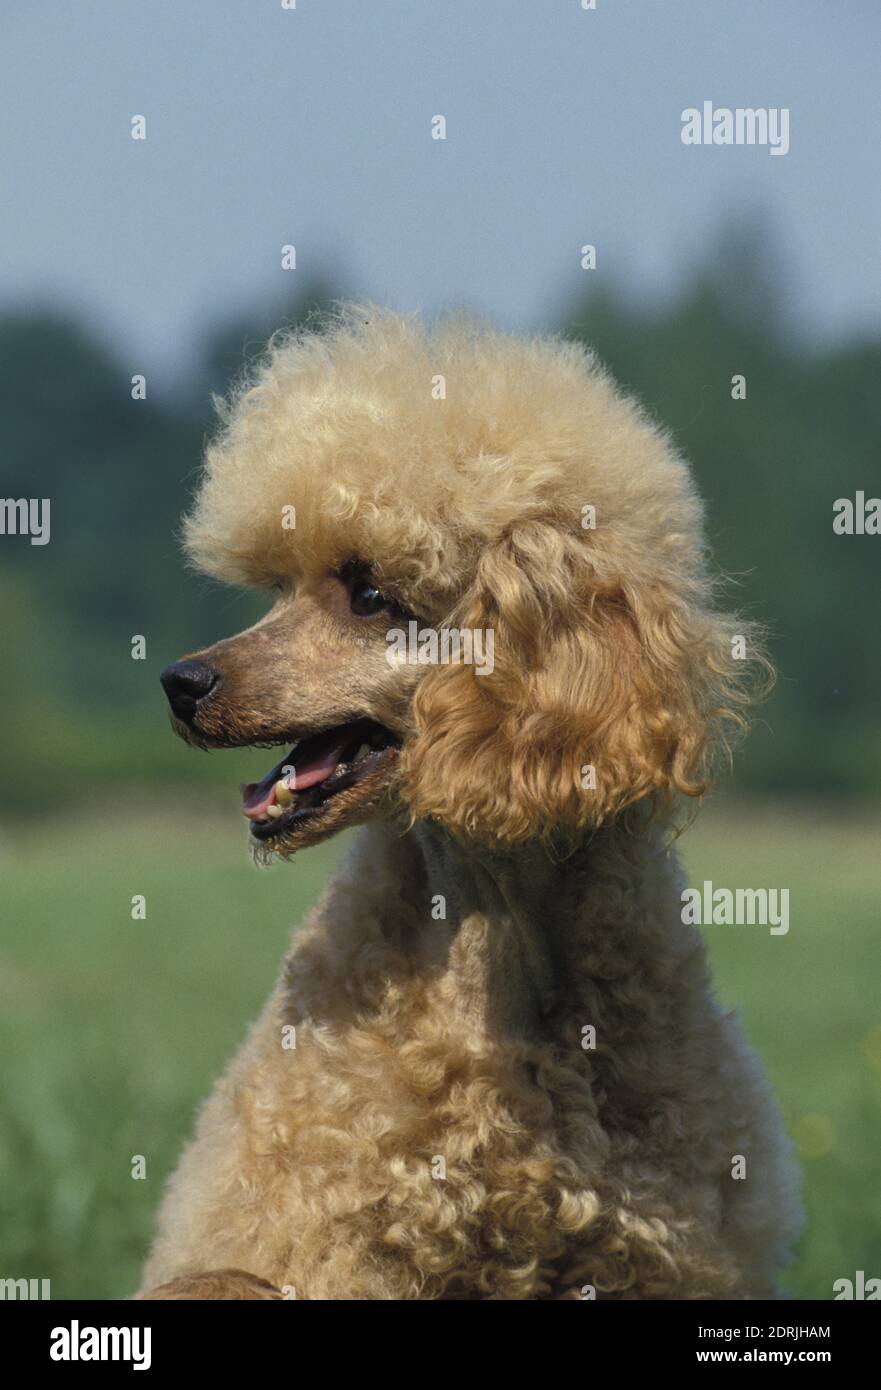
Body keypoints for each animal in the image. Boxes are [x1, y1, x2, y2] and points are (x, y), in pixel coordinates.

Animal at [138, 307, 794, 1301]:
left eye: (368, 592)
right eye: (282, 587)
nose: (181, 683)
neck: (500, 938)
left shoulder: (661, 1260)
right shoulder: (322, 1237)